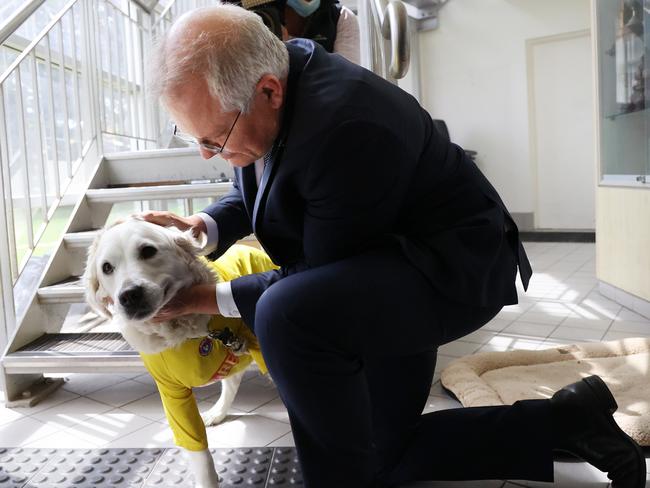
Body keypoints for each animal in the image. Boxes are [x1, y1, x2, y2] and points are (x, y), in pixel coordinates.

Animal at [82, 218, 254, 488]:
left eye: (148, 251)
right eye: (107, 267)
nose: (129, 295)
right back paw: (218, 413)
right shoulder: (172, 394)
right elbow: (197, 450)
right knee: (232, 380)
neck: (187, 332)